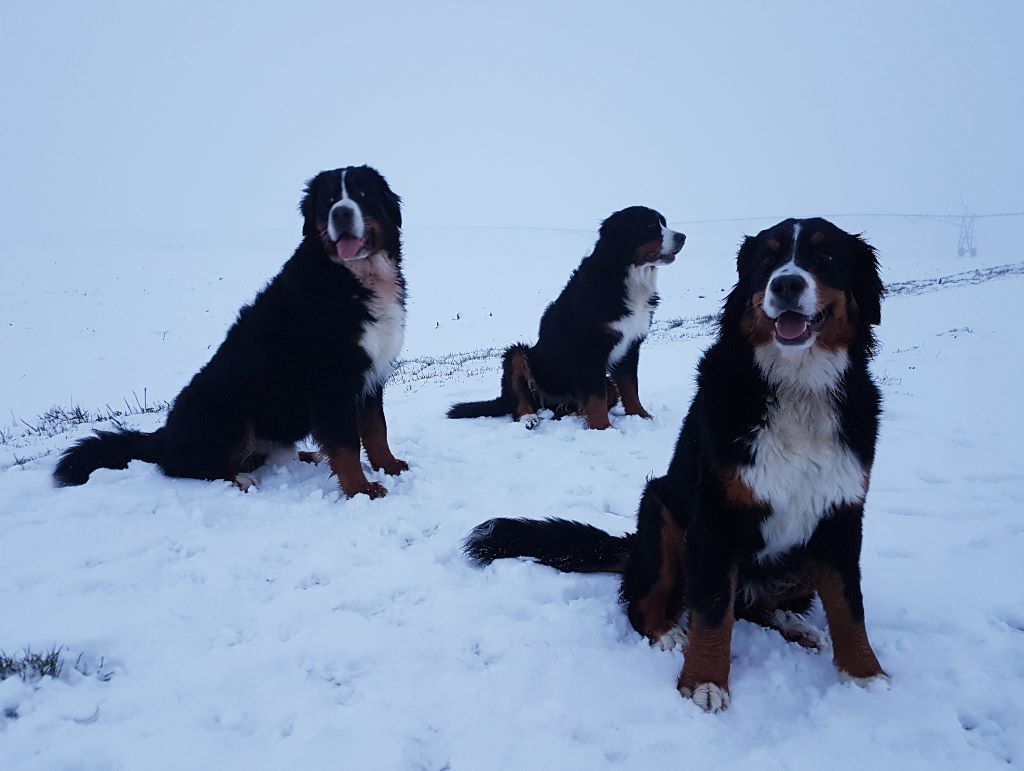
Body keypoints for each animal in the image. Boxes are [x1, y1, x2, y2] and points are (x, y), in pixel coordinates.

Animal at [55, 164, 407, 495]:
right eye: (329, 200)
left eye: (362, 194)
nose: (341, 213)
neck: (353, 278)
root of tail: (165, 435)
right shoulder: (332, 379)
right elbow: (346, 444)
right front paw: (361, 488)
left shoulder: (372, 372)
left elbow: (376, 430)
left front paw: (389, 466)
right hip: (228, 407)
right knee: (182, 465)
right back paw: (240, 478)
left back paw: (308, 457)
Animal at [444, 204, 684, 430]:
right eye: (650, 226)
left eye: (663, 223)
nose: (682, 237)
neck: (626, 278)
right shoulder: (590, 350)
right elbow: (597, 397)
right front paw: (603, 428)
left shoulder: (631, 345)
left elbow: (630, 387)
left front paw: (641, 417)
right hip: (518, 354)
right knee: (520, 401)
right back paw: (529, 418)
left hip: (595, 385)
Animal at [464, 217, 888, 708]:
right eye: (768, 260)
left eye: (825, 257)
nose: (785, 284)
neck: (797, 388)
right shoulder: (716, 516)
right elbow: (713, 611)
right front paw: (704, 680)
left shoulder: (841, 512)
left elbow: (848, 604)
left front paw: (865, 674)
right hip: (661, 508)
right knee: (647, 601)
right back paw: (667, 631)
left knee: (756, 606)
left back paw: (796, 627)